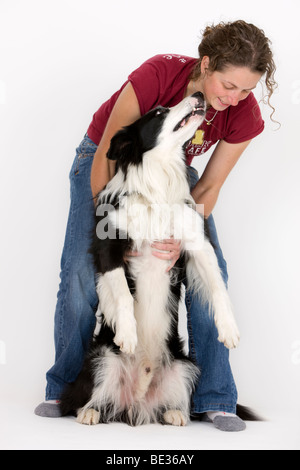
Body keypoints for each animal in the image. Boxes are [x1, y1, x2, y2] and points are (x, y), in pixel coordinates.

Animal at [59, 91, 240, 426]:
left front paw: (229, 329)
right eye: (158, 112)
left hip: (184, 366)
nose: (198, 94)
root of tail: (135, 402)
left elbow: (217, 284)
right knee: (84, 397)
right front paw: (128, 334)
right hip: (102, 358)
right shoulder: (108, 246)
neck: (159, 182)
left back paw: (174, 414)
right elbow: (121, 292)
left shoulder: (195, 240)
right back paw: (88, 411)